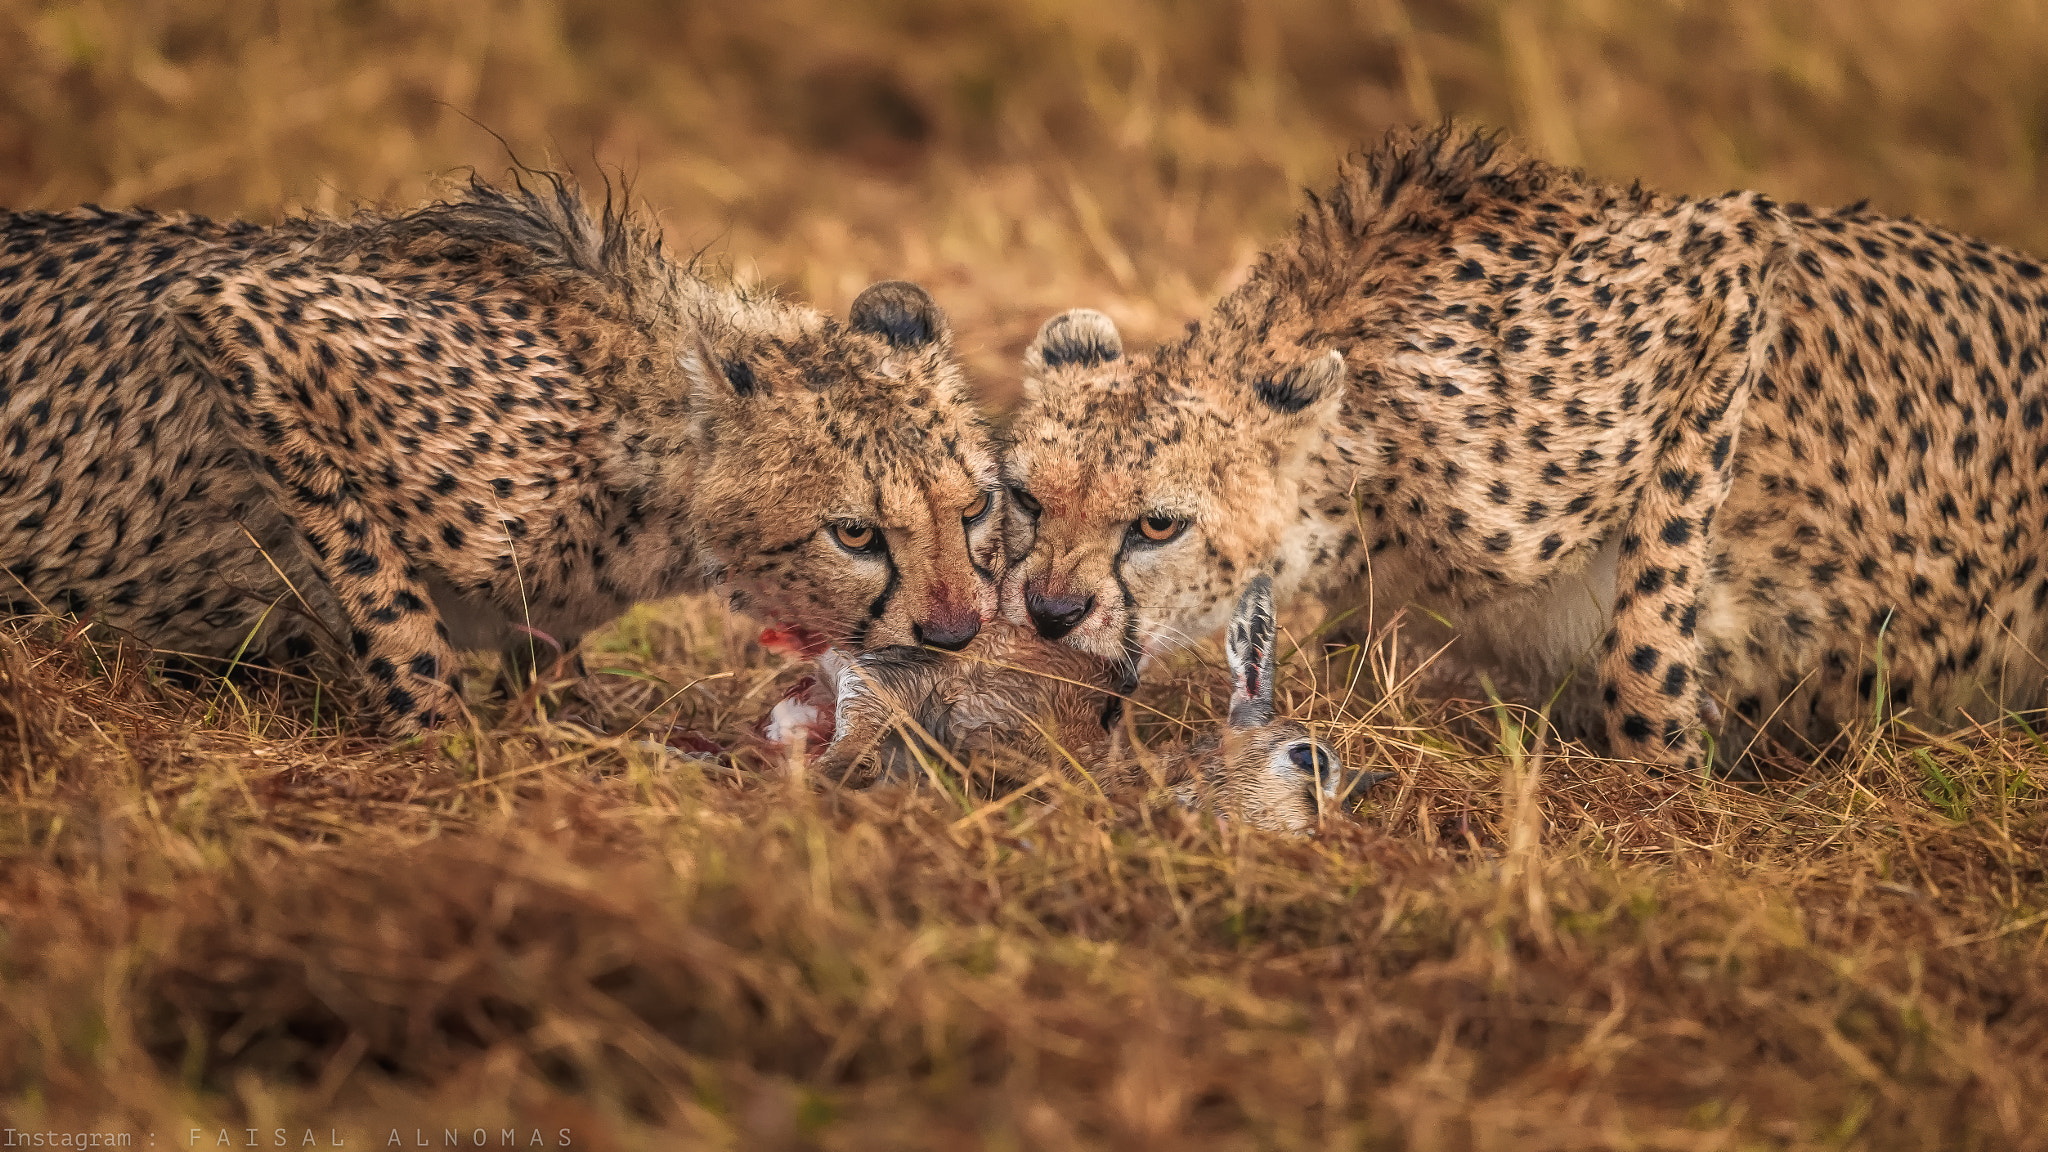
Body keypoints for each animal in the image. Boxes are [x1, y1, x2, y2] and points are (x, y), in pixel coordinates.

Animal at [0, 177, 1007, 733]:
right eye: (855, 534)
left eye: (974, 510)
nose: (956, 634)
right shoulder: (247, 318)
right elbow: (390, 605)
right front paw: (444, 749)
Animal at [1007, 123, 2048, 770]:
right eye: (1027, 499)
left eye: (1158, 524)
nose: (1050, 612)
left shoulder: (1730, 256)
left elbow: (1649, 615)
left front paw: (1674, 769)